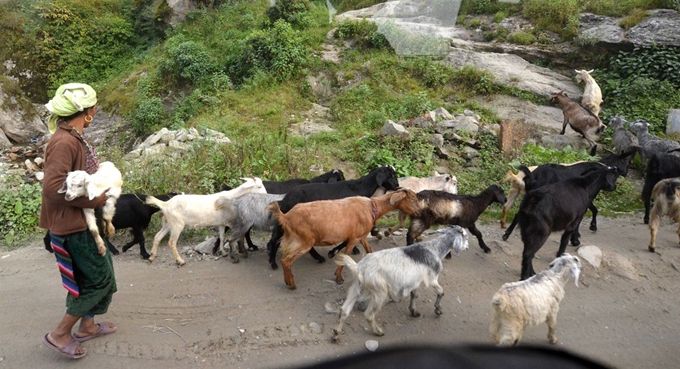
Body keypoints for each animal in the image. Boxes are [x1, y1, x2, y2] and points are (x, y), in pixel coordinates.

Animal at [43, 193, 177, 258]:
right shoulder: (137, 224)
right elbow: (140, 239)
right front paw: (144, 254)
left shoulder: (136, 226)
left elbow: (136, 239)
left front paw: (125, 247)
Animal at [266, 165, 404, 268]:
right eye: (391, 175)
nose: (397, 186)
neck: (360, 187)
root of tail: (285, 199)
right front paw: (333, 252)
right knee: (278, 239)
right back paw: (273, 262)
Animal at [266, 188, 420, 288]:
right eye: (412, 199)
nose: (419, 212)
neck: (373, 207)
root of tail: (286, 216)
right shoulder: (354, 238)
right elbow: (345, 255)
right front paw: (338, 277)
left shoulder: (361, 236)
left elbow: (369, 250)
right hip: (305, 240)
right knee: (286, 260)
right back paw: (291, 283)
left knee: (285, 258)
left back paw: (288, 280)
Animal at [330, 226, 468, 340]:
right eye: (465, 236)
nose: (467, 247)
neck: (434, 249)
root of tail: (359, 267)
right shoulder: (432, 279)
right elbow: (441, 292)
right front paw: (438, 310)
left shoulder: (415, 280)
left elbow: (414, 295)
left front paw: (413, 311)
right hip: (380, 291)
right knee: (369, 315)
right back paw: (378, 331)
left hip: (356, 288)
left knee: (344, 310)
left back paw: (336, 334)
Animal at [500, 147, 636, 242]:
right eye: (625, 162)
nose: (626, 173)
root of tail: (531, 176)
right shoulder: (587, 197)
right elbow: (593, 210)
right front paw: (587, 230)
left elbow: (592, 210)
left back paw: (506, 234)